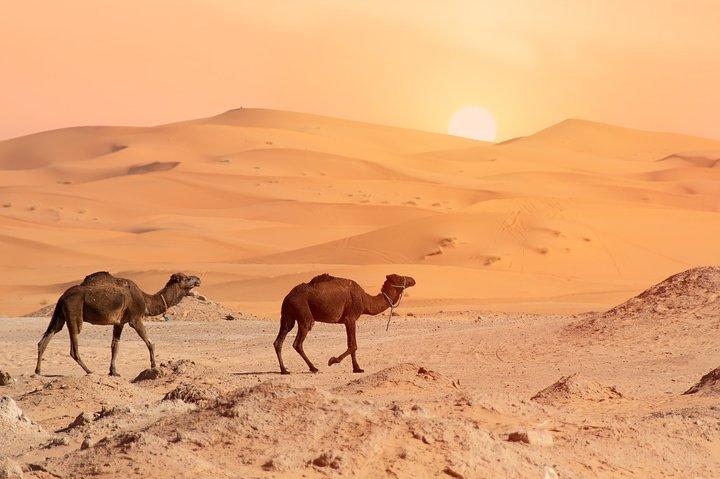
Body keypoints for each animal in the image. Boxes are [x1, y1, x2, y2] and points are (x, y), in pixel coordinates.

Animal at [35, 271, 201, 376]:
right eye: (187, 278)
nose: (198, 279)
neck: (146, 300)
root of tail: (62, 297)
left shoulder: (119, 322)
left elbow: (115, 346)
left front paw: (113, 371)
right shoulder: (135, 319)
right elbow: (150, 342)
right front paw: (154, 366)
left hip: (60, 315)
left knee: (45, 339)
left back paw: (37, 372)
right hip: (74, 312)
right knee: (73, 347)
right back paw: (89, 371)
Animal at [273, 273, 416, 374]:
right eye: (399, 277)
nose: (412, 279)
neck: (365, 300)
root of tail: (288, 296)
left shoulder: (349, 321)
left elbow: (352, 344)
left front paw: (357, 368)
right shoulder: (350, 318)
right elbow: (353, 345)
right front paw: (332, 360)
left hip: (288, 316)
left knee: (279, 340)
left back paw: (284, 370)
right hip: (303, 312)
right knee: (298, 342)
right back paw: (313, 368)